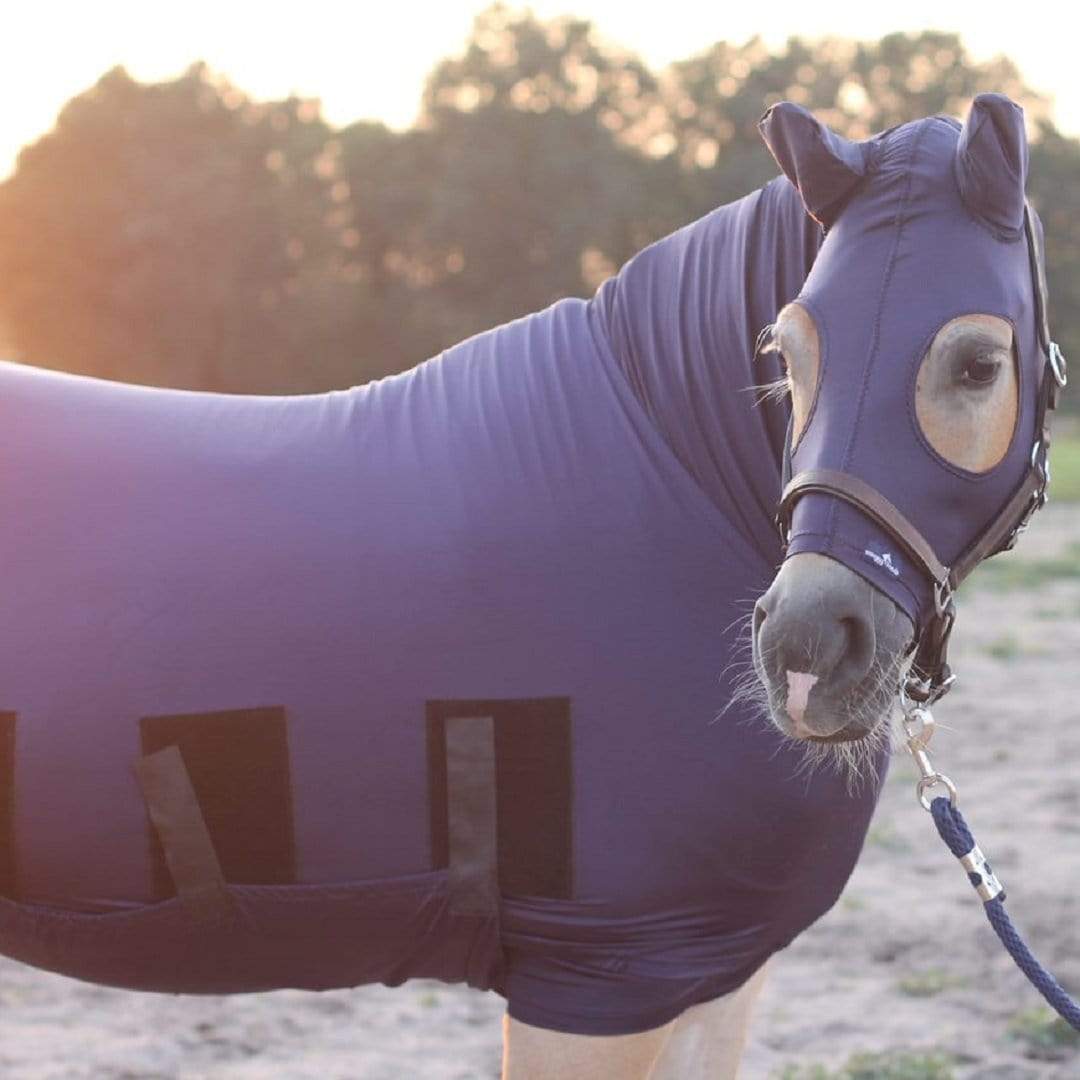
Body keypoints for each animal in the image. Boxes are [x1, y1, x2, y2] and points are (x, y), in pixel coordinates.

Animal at [0, 90, 1055, 1078]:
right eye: (784, 351)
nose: (805, 651)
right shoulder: (603, 981)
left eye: (978, 363)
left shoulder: (708, 974)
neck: (669, 477)